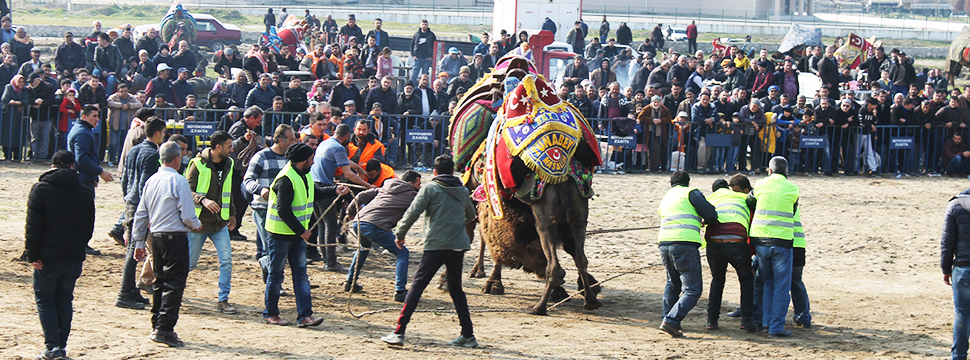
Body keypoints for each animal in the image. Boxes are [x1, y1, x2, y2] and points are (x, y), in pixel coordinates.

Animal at [448, 47, 600, 316]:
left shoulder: (490, 200)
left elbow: (487, 238)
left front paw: (492, 282)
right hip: (575, 213)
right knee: (578, 257)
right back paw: (588, 298)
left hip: (545, 217)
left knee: (553, 265)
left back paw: (539, 305)